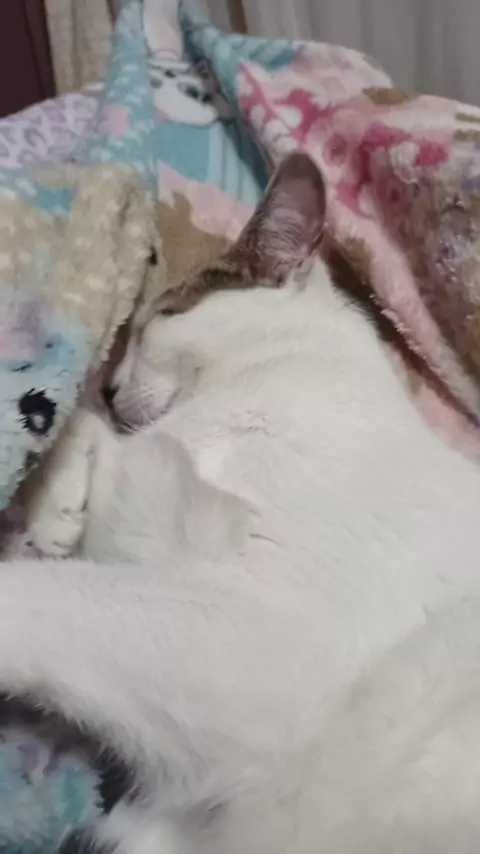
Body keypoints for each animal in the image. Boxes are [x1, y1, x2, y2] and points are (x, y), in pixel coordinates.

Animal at [4, 151, 480, 853]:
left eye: (161, 316)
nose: (113, 385)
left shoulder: (266, 648)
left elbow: (46, 595)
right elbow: (93, 436)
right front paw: (55, 508)